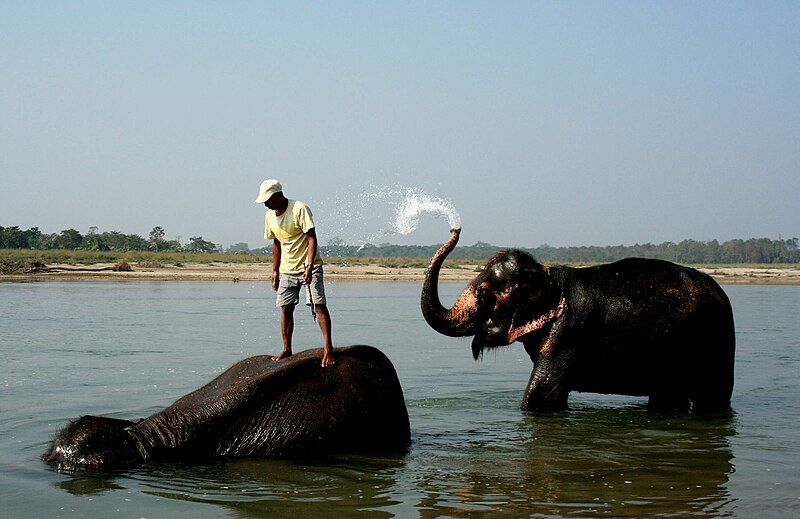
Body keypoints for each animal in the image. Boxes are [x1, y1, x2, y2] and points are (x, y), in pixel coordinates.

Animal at [422, 230, 736, 412]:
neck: (547, 275)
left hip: (715, 343)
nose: (455, 229)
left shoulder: (569, 333)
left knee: (712, 397)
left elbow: (541, 397)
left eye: (485, 293)